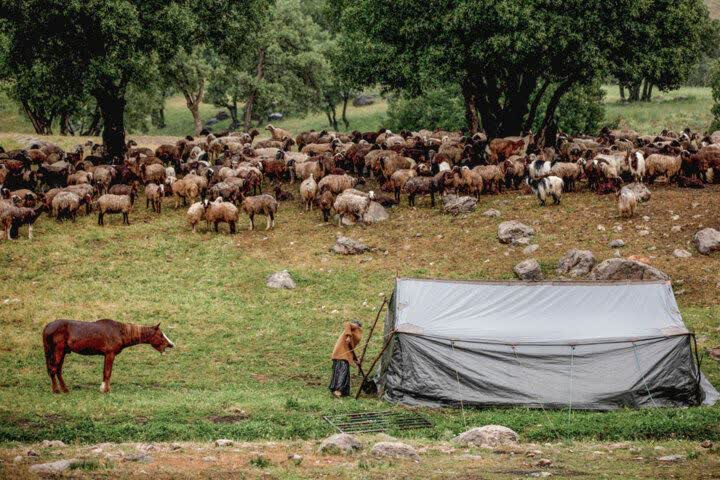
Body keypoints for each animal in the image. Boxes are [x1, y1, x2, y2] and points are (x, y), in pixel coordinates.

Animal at [42, 318, 174, 394]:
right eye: (161, 335)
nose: (171, 344)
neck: (120, 332)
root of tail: (47, 327)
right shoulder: (110, 354)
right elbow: (107, 372)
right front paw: (105, 390)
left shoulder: (106, 355)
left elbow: (105, 372)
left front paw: (104, 388)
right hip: (58, 352)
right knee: (53, 370)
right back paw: (56, 390)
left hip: (62, 353)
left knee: (58, 370)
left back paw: (65, 389)